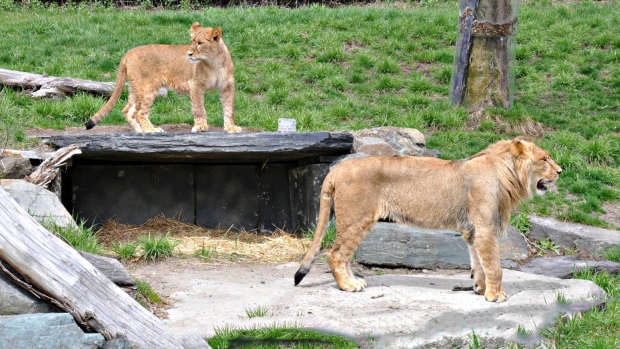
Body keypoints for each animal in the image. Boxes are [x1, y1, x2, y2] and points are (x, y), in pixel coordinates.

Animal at [86, 22, 241, 133]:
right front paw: (201, 127)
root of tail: (129, 52)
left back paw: (139, 131)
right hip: (148, 88)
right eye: (191, 41)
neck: (214, 62)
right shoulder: (196, 85)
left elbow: (229, 109)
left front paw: (231, 128)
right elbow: (199, 108)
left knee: (127, 110)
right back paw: (150, 130)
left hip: (136, 88)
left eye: (200, 43)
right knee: (139, 112)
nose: (189, 54)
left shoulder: (227, 86)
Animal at [296, 137, 560, 302]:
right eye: (545, 159)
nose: (560, 171)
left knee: (344, 255)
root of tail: (337, 169)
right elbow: (494, 266)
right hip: (356, 218)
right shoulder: (485, 227)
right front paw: (495, 296)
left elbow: (478, 263)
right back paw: (348, 286)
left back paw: (354, 282)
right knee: (335, 254)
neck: (508, 175)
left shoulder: (473, 230)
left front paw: (480, 288)